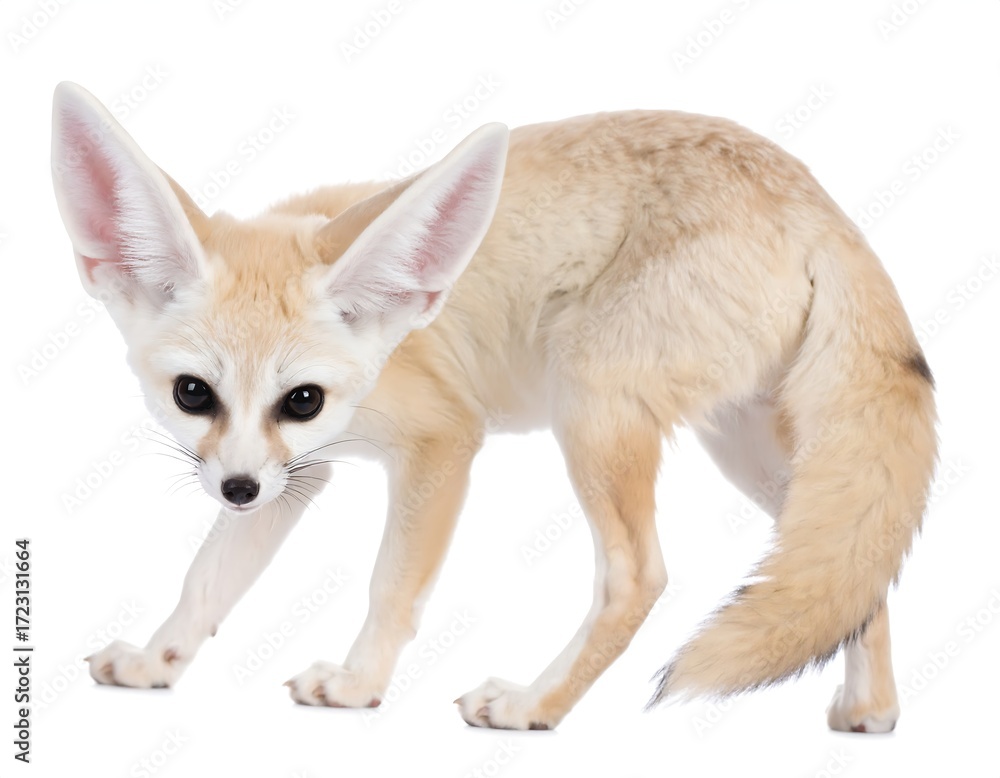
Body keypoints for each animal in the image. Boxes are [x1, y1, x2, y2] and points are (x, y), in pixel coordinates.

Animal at [51, 81, 936, 733]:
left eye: (302, 399)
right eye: (192, 394)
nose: (235, 490)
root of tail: (814, 197)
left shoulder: (440, 440)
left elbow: (391, 587)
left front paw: (359, 685)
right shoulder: (292, 474)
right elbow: (208, 580)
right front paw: (159, 662)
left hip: (593, 407)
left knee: (639, 578)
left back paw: (533, 707)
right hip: (757, 451)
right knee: (856, 565)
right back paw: (871, 708)